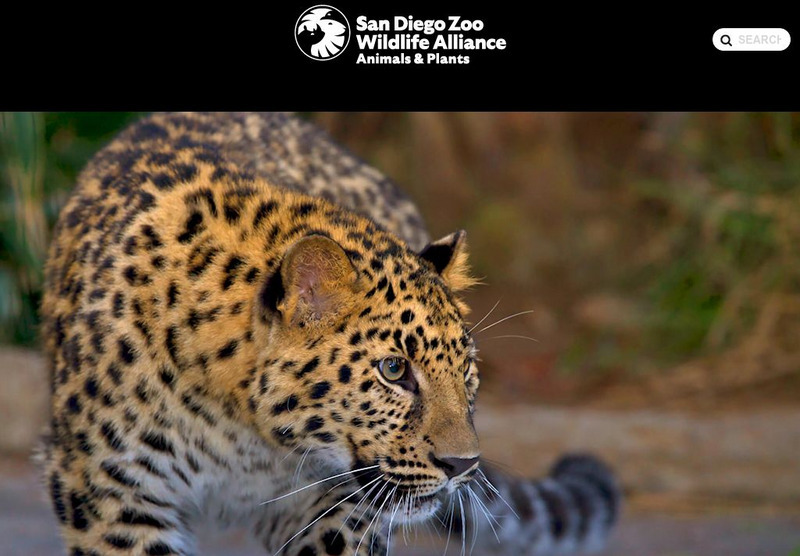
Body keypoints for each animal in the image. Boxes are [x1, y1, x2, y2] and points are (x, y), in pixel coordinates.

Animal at [40, 112, 620, 555]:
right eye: (394, 370)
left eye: (467, 370)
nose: (464, 466)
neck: (243, 431)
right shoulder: (112, 490)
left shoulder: (339, 505)